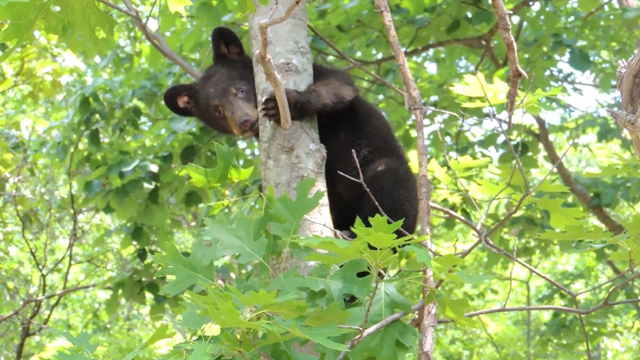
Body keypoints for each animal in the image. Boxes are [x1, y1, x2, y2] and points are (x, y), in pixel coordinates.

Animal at [162, 26, 418, 243]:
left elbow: (340, 87)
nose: (244, 122)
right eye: (217, 110)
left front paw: (290, 103)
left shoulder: (321, 73)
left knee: (388, 185)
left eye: (240, 89)